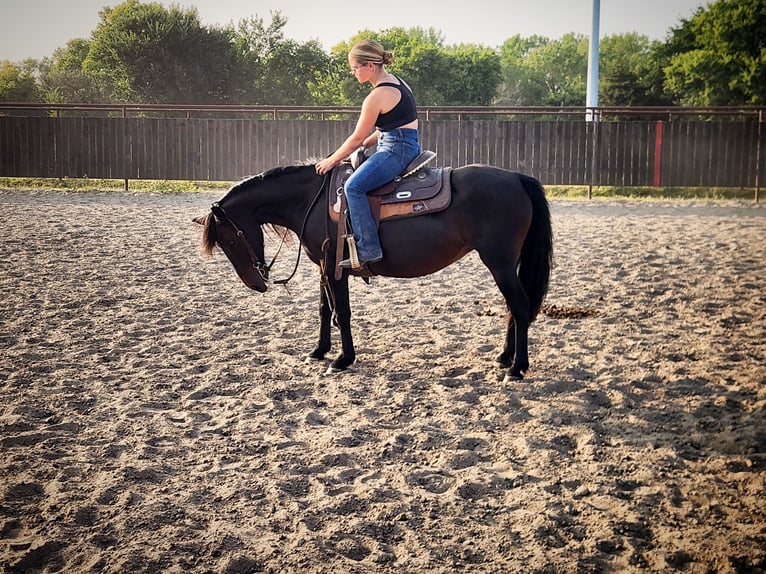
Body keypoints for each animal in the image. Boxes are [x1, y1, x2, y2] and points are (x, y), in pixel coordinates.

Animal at [194, 164, 552, 380]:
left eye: (230, 239)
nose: (257, 284)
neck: (312, 200)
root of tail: (516, 178)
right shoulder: (323, 268)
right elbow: (324, 310)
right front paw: (318, 351)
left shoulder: (335, 269)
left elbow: (342, 312)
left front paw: (343, 358)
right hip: (506, 265)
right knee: (512, 308)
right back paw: (505, 356)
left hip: (500, 263)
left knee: (520, 307)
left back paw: (517, 367)